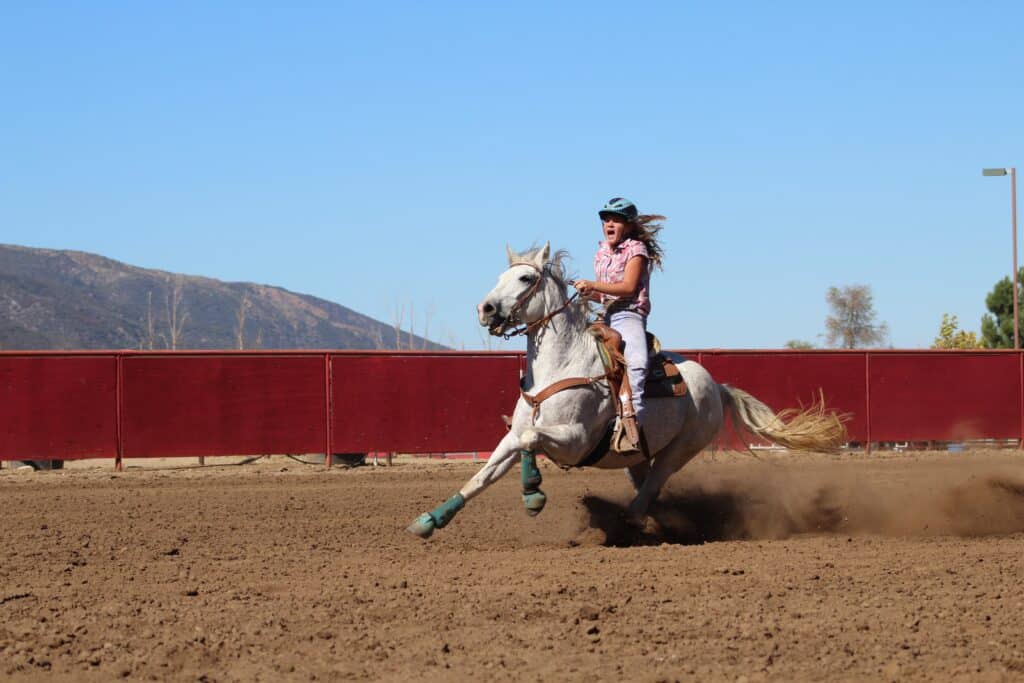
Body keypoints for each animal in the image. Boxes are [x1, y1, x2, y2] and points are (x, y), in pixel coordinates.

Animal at [406, 243, 846, 539]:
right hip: (637, 453)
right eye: (500, 277)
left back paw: (630, 521)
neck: (560, 366)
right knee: (647, 483)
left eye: (525, 278)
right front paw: (431, 520)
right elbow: (485, 474)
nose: (485, 310)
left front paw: (533, 494)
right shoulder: (512, 437)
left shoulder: (575, 441)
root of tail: (716, 386)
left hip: (683, 447)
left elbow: (532, 438)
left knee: (654, 484)